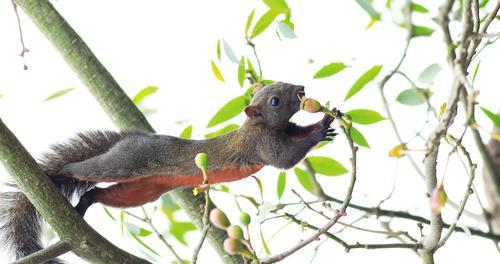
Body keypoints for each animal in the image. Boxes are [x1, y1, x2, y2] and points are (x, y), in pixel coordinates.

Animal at [0, 82, 340, 262]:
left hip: (141, 190)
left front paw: (329, 118)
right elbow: (287, 158)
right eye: (275, 100)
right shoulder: (263, 146)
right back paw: (58, 174)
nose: (301, 89)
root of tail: (132, 138)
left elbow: (297, 133)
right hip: (123, 163)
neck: (259, 125)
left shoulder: (285, 131)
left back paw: (84, 203)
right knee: (85, 170)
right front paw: (322, 127)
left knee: (99, 192)